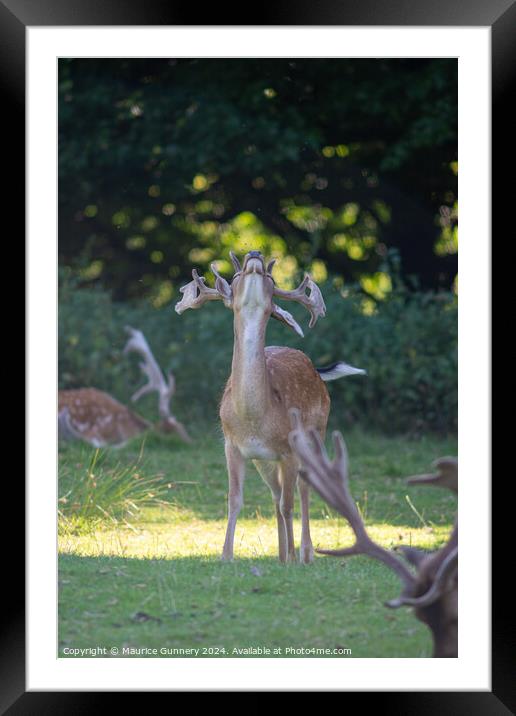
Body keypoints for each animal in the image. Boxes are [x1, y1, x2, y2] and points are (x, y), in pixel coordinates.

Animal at [175, 249, 364, 564]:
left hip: (317, 431)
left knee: (304, 487)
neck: (254, 418)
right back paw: (280, 554)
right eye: (236, 275)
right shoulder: (232, 445)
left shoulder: (289, 449)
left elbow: (289, 504)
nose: (254, 255)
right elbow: (235, 500)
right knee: (275, 494)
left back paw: (305, 553)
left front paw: (294, 557)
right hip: (264, 460)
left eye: (271, 278)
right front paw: (226, 555)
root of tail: (315, 368)